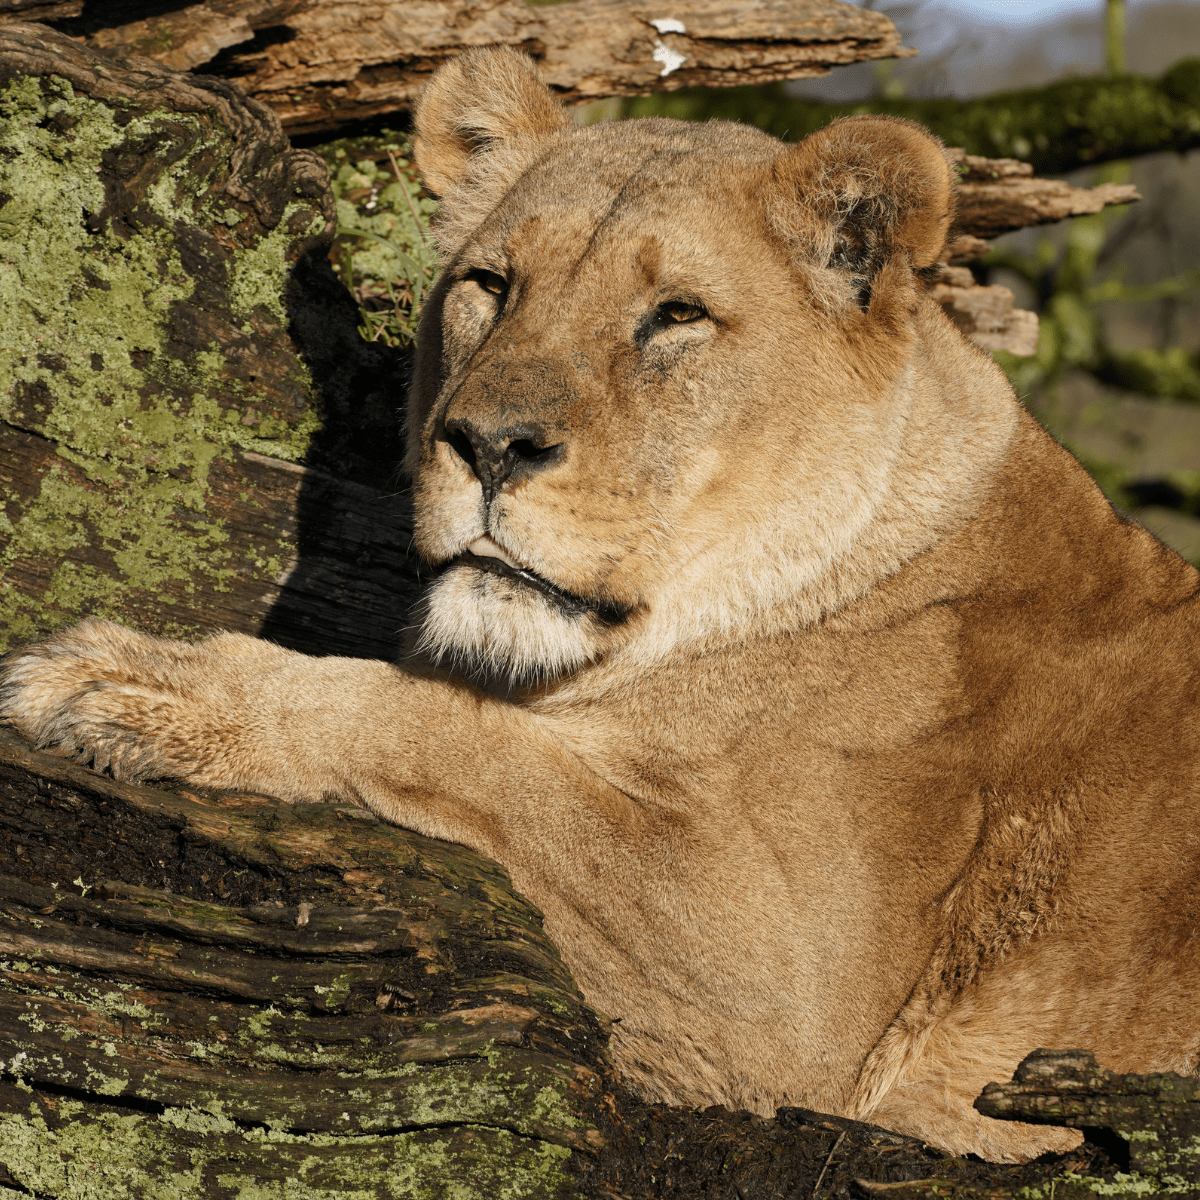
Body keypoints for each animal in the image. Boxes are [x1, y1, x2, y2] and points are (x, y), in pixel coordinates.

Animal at [3, 46, 1199, 1164]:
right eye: (492, 285)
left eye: (675, 316)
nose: (487, 444)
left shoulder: (779, 988)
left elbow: (450, 733)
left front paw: (141, 683)